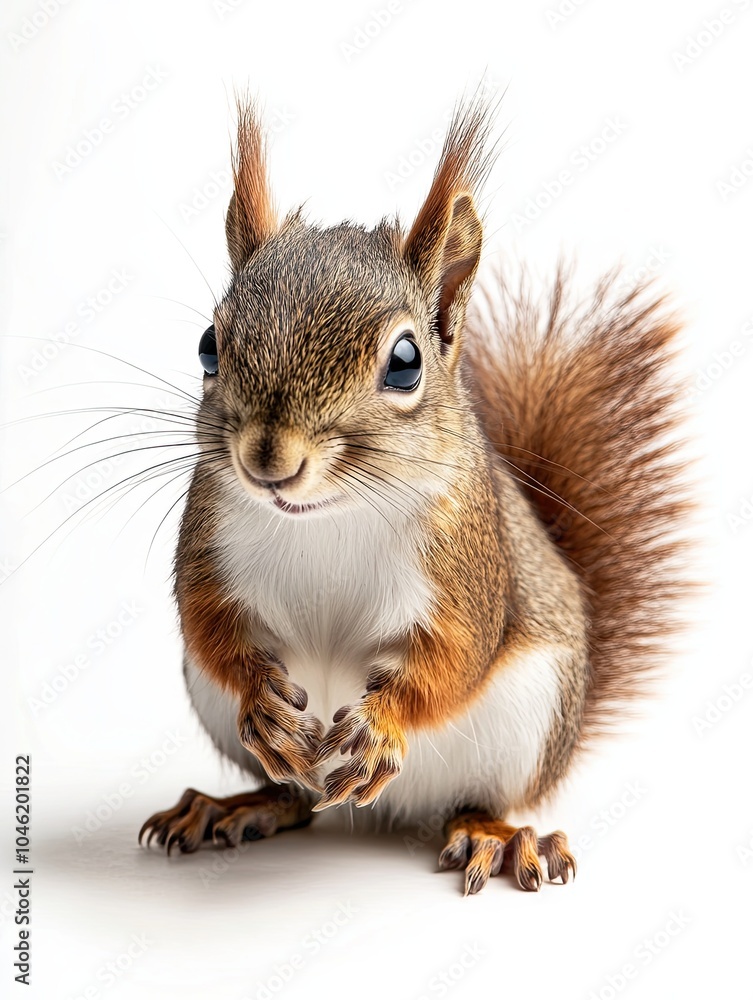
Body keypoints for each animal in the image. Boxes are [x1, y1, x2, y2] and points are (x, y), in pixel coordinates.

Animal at [139, 97, 689, 894]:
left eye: (405, 362)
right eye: (209, 345)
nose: (269, 459)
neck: (326, 518)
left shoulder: (465, 565)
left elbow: (453, 656)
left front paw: (381, 728)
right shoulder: (210, 538)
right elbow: (208, 624)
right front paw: (260, 704)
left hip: (527, 722)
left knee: (476, 799)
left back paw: (499, 838)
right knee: (293, 796)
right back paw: (234, 805)